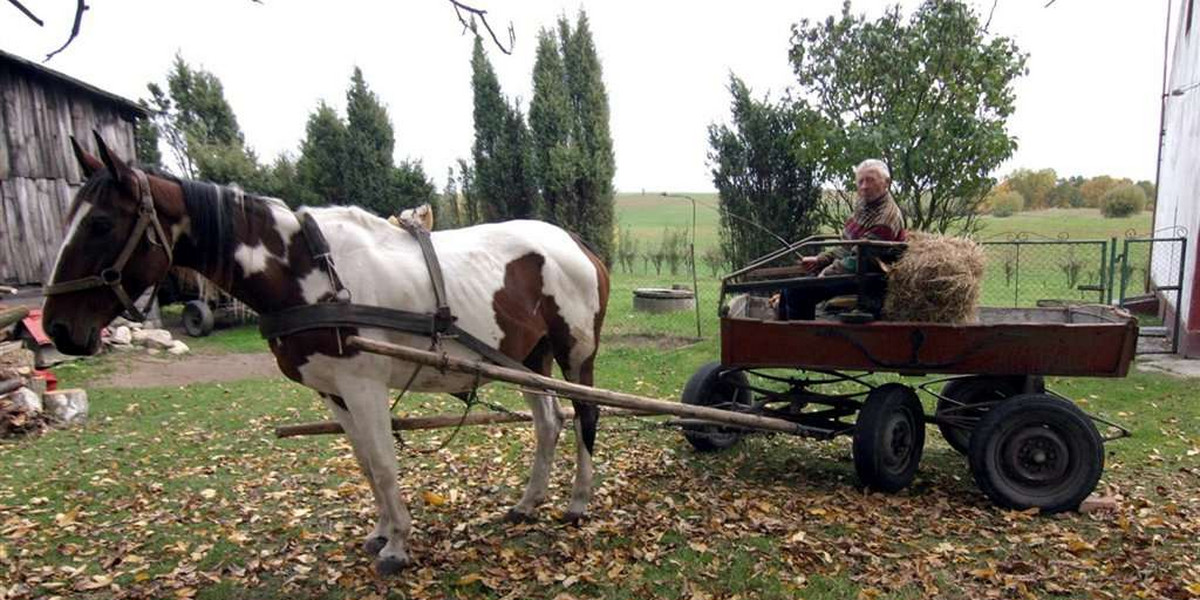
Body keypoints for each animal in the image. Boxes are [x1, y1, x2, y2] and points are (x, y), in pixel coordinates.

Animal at [42, 133, 609, 573]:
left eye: (101, 224)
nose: (56, 328)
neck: (307, 272)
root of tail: (577, 244)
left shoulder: (364, 387)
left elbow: (383, 464)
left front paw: (397, 547)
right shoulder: (333, 393)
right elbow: (365, 464)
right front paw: (381, 532)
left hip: (574, 353)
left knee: (585, 414)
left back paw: (578, 502)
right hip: (529, 359)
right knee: (548, 423)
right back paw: (528, 502)